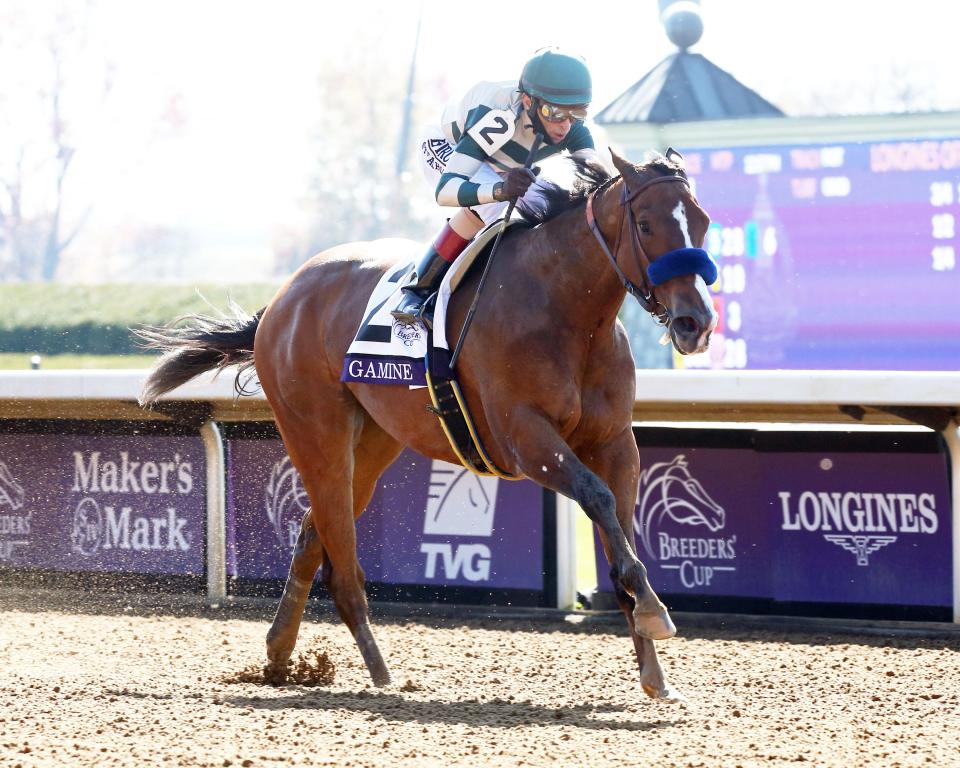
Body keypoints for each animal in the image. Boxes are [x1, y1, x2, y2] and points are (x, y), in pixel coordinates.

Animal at [139, 150, 716, 704]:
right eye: (646, 224)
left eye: (704, 221)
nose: (697, 323)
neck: (566, 312)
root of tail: (282, 298)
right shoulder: (527, 440)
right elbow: (597, 498)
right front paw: (654, 610)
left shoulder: (616, 443)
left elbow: (618, 529)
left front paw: (655, 672)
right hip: (315, 432)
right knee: (341, 563)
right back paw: (379, 674)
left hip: (373, 443)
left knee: (310, 537)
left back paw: (281, 657)